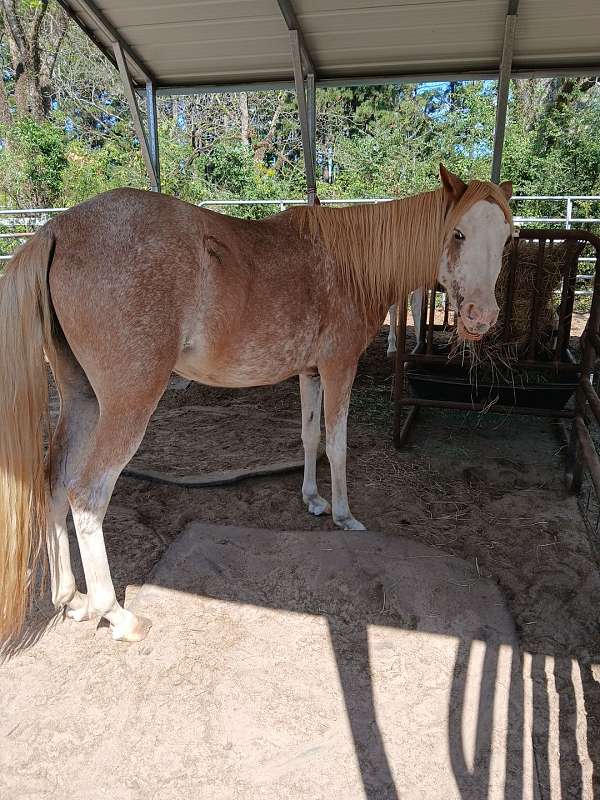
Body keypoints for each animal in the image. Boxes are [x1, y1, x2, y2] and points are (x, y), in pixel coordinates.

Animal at [0, 165, 512, 643]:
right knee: (87, 495)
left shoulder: (310, 373)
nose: (481, 317)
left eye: (507, 238)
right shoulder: (338, 366)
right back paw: (117, 616)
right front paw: (344, 516)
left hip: (81, 398)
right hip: (128, 405)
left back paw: (71, 599)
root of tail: (59, 228)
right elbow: (338, 443)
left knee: (53, 480)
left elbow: (310, 437)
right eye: (458, 233)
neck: (348, 266)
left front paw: (313, 500)